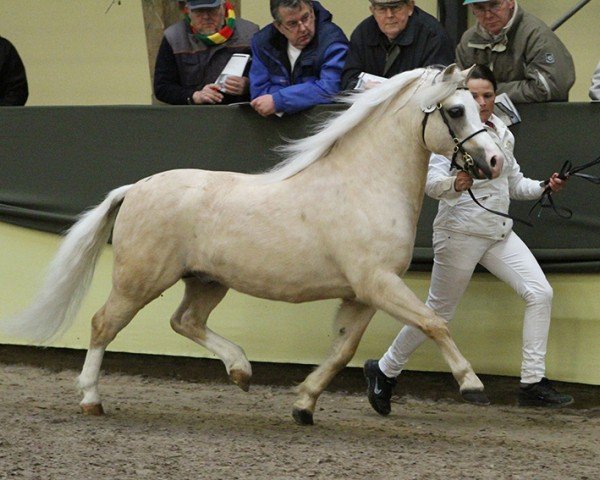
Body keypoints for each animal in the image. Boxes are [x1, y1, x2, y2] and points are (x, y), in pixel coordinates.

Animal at [2, 63, 504, 424]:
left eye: (479, 104)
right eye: (456, 110)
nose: (495, 161)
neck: (365, 185)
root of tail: (135, 188)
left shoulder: (363, 294)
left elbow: (343, 350)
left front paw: (303, 405)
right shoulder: (378, 284)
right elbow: (433, 322)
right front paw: (471, 384)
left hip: (206, 280)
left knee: (185, 321)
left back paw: (241, 370)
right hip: (139, 280)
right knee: (104, 324)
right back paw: (91, 399)